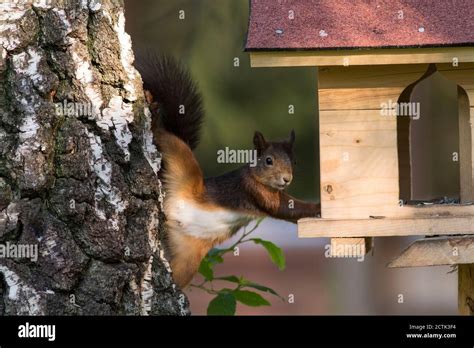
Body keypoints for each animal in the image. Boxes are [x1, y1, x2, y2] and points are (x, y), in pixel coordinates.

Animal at [137, 54, 322, 288]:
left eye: (295, 161)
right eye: (268, 161)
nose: (286, 179)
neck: (256, 177)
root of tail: (173, 210)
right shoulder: (251, 189)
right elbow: (282, 208)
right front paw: (318, 206)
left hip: (188, 254)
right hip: (181, 158)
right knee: (165, 136)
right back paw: (154, 118)